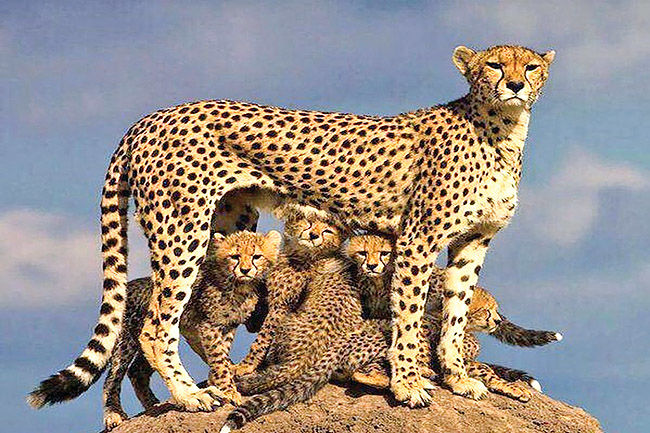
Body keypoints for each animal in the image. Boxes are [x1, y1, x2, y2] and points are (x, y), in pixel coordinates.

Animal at [28, 230, 281, 429]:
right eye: (235, 256)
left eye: (257, 256)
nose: (246, 270)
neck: (240, 286)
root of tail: (129, 286)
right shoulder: (208, 325)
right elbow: (218, 358)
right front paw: (228, 391)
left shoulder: (226, 327)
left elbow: (222, 356)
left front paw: (226, 377)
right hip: (127, 342)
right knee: (114, 377)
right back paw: (114, 414)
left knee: (139, 370)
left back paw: (154, 405)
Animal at [71, 44, 554, 410]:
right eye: (494, 65)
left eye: (530, 66)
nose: (515, 85)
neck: (503, 131)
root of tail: (151, 117)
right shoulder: (418, 238)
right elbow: (409, 314)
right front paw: (408, 384)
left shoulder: (473, 241)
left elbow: (455, 312)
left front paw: (457, 378)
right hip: (182, 228)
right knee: (157, 325)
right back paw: (192, 396)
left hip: (229, 225)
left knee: (201, 317)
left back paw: (222, 383)